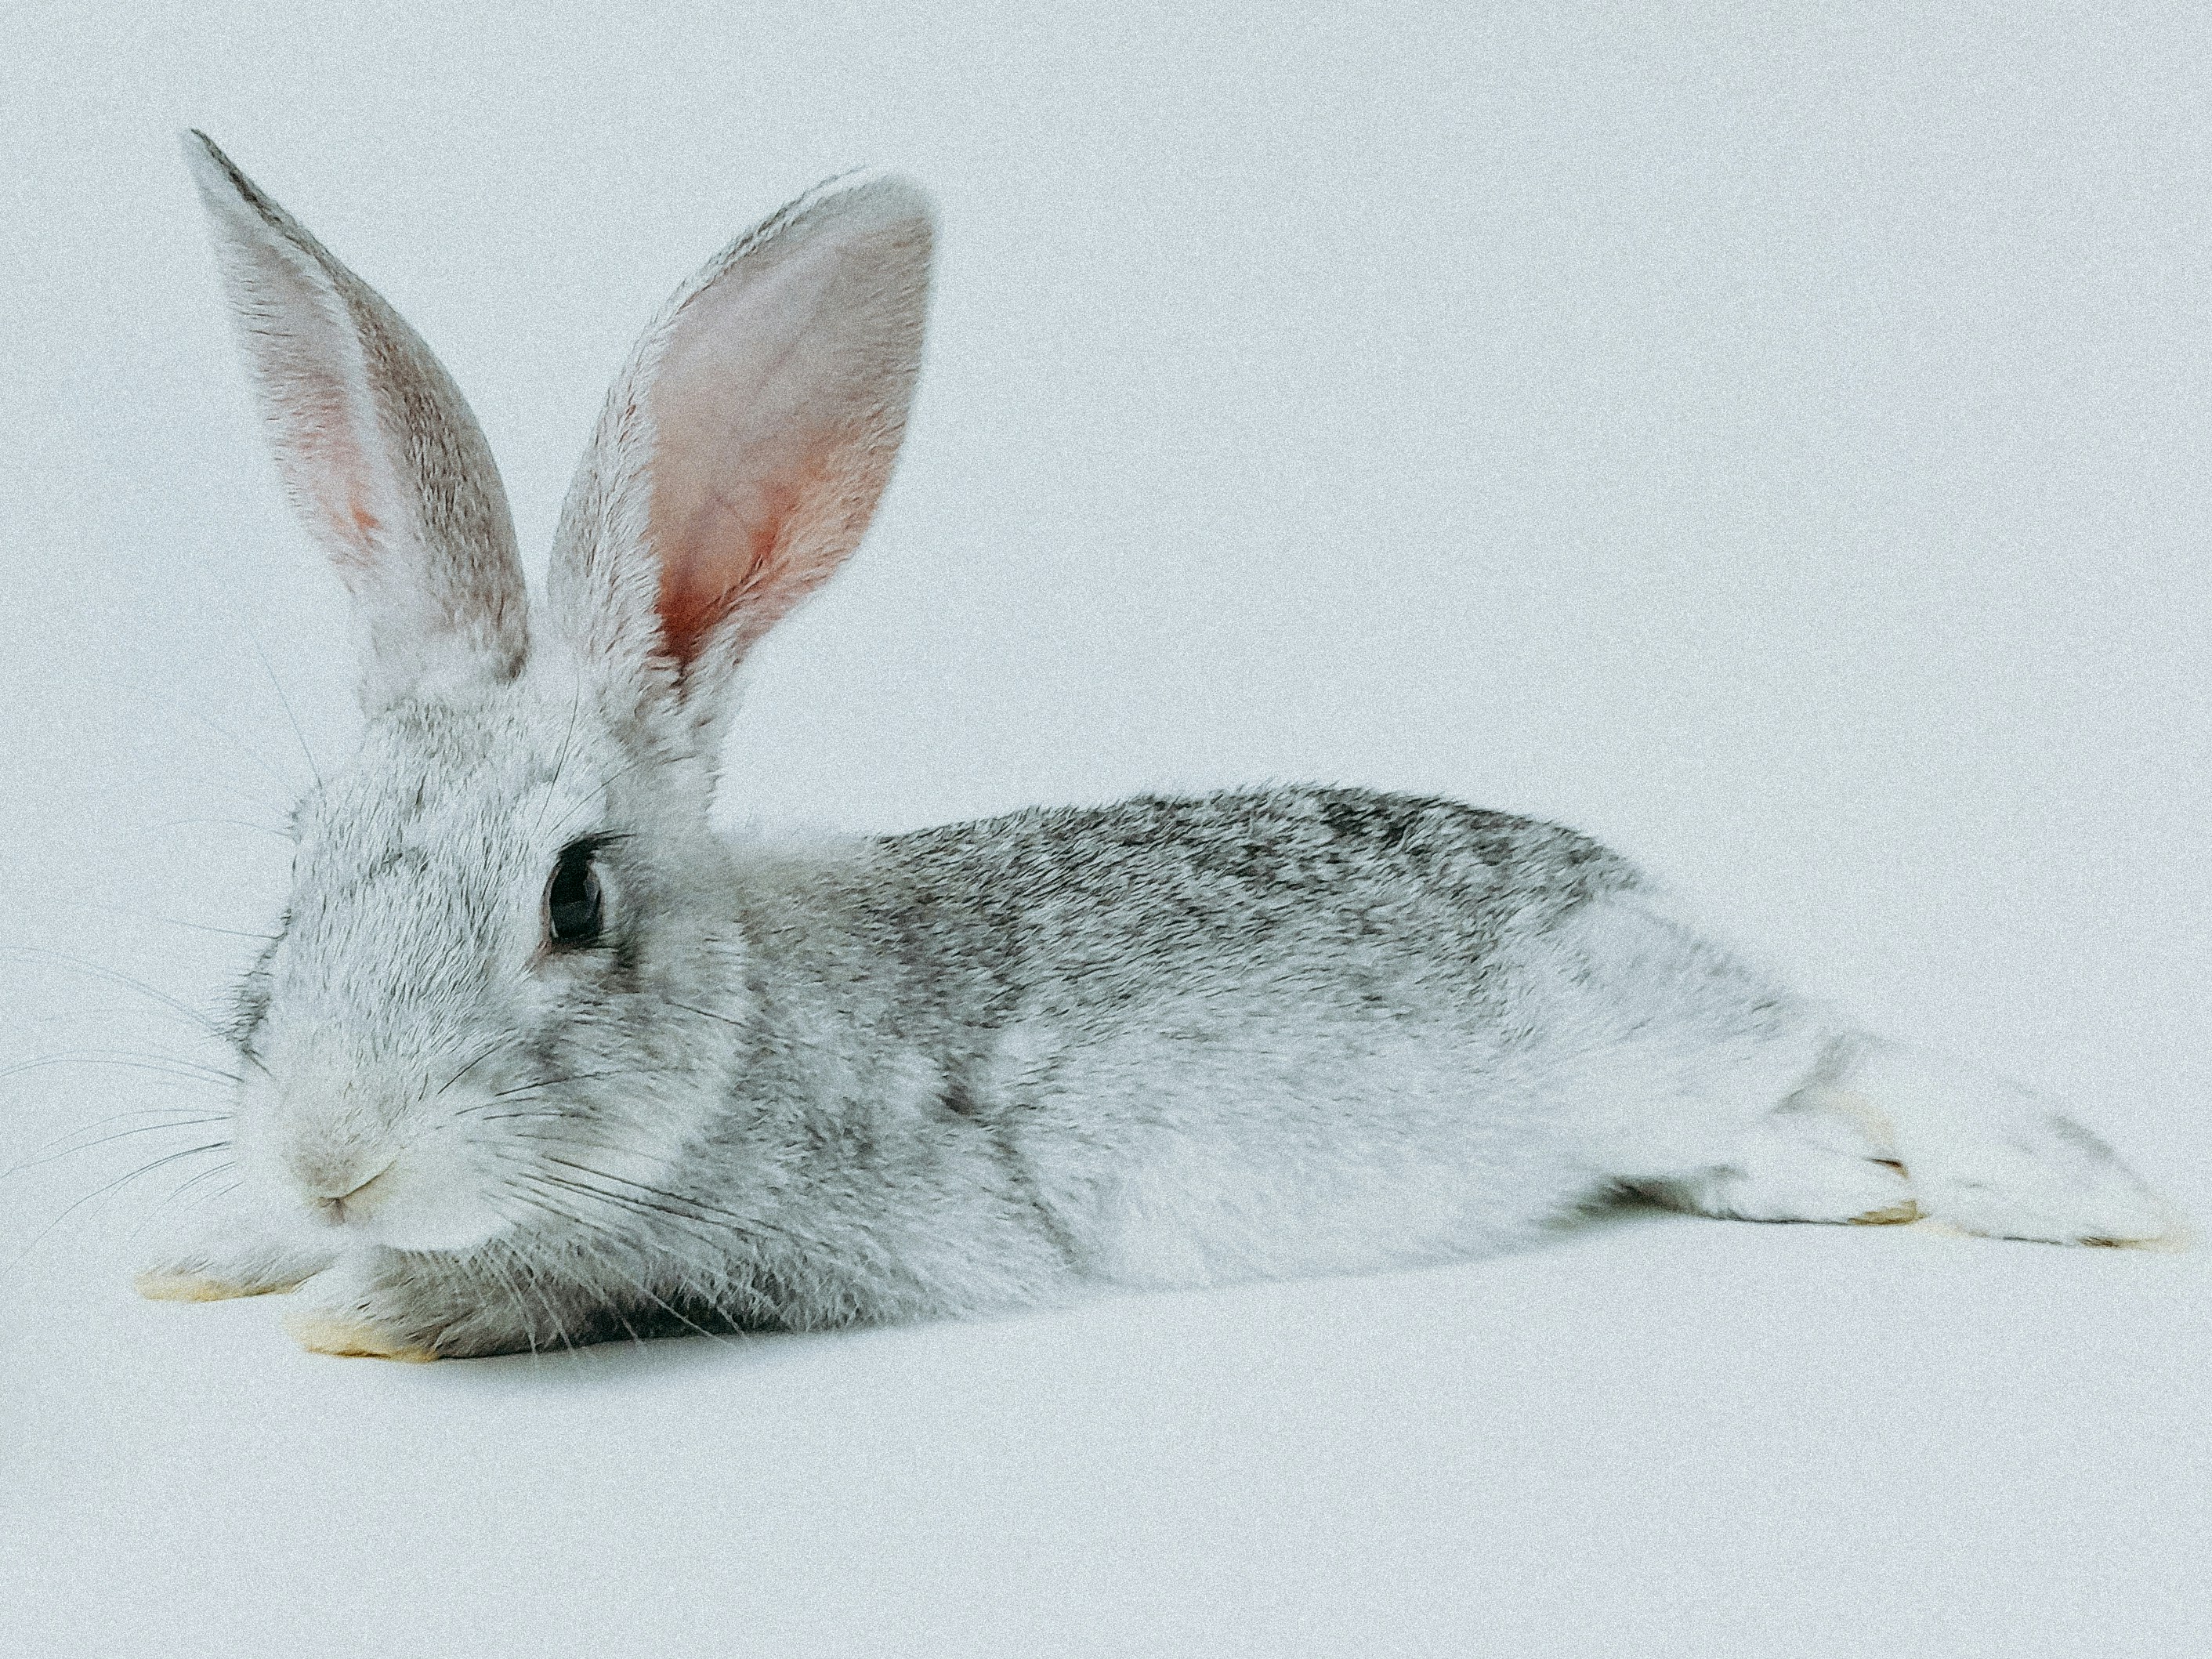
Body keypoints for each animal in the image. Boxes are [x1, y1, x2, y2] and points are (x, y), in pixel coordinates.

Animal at [134, 132, 2180, 1361]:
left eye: (576, 897)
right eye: (297, 854)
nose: (335, 1156)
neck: (749, 1027)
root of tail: (1654, 904)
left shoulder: (780, 1237)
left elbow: (525, 1273)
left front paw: (351, 1298)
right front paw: (216, 1245)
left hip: (1665, 1040)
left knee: (1846, 1052)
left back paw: (2071, 1196)